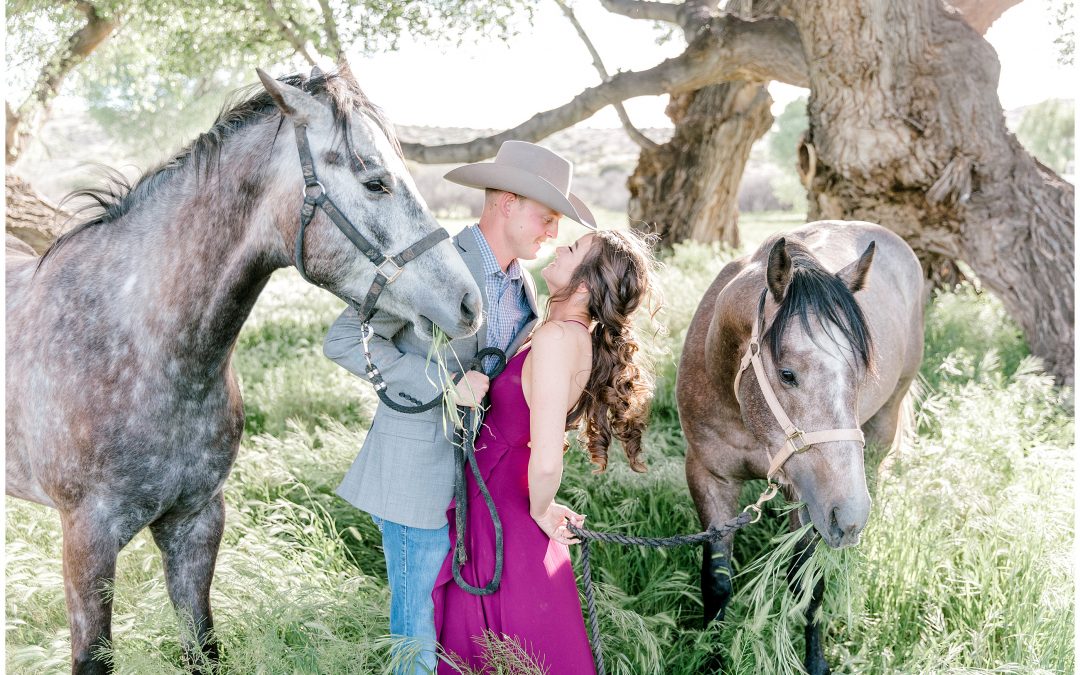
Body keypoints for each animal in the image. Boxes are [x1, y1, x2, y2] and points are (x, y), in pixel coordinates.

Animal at [6, 65, 481, 669]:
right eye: (376, 181)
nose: (468, 302)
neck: (135, 342)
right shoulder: (86, 540)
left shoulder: (197, 522)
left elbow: (203, 646)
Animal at [678, 221, 924, 673]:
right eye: (787, 373)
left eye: (861, 373)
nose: (851, 516)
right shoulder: (708, 475)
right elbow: (717, 583)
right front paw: (713, 658)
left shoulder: (809, 498)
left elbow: (809, 583)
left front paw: (816, 661)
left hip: (884, 425)